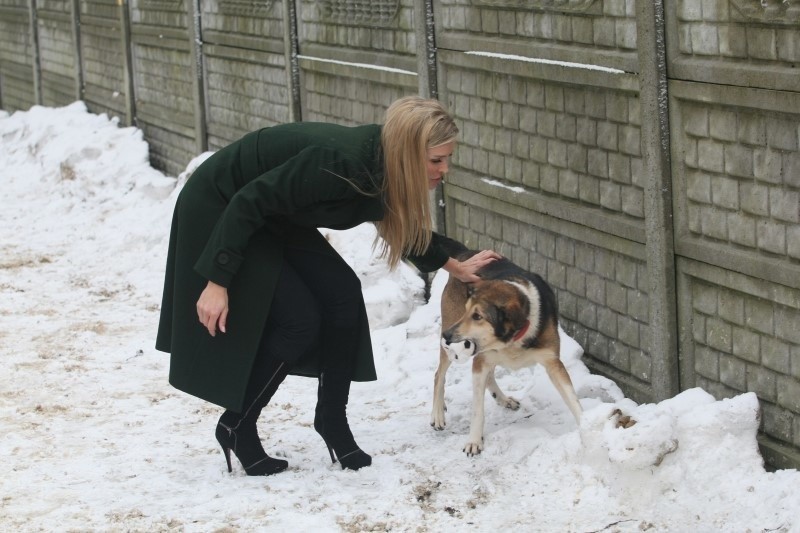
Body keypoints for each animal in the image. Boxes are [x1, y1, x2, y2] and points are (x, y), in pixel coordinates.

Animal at [432, 235, 580, 456]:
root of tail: (466, 253)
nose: (446, 335)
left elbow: (573, 400)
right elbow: (477, 410)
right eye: (467, 310)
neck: (512, 339)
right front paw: (474, 441)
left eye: (477, 316)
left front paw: (589, 427)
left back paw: (502, 399)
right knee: (439, 375)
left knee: (488, 374)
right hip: (455, 345)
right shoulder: (482, 359)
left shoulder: (553, 363)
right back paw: (438, 414)